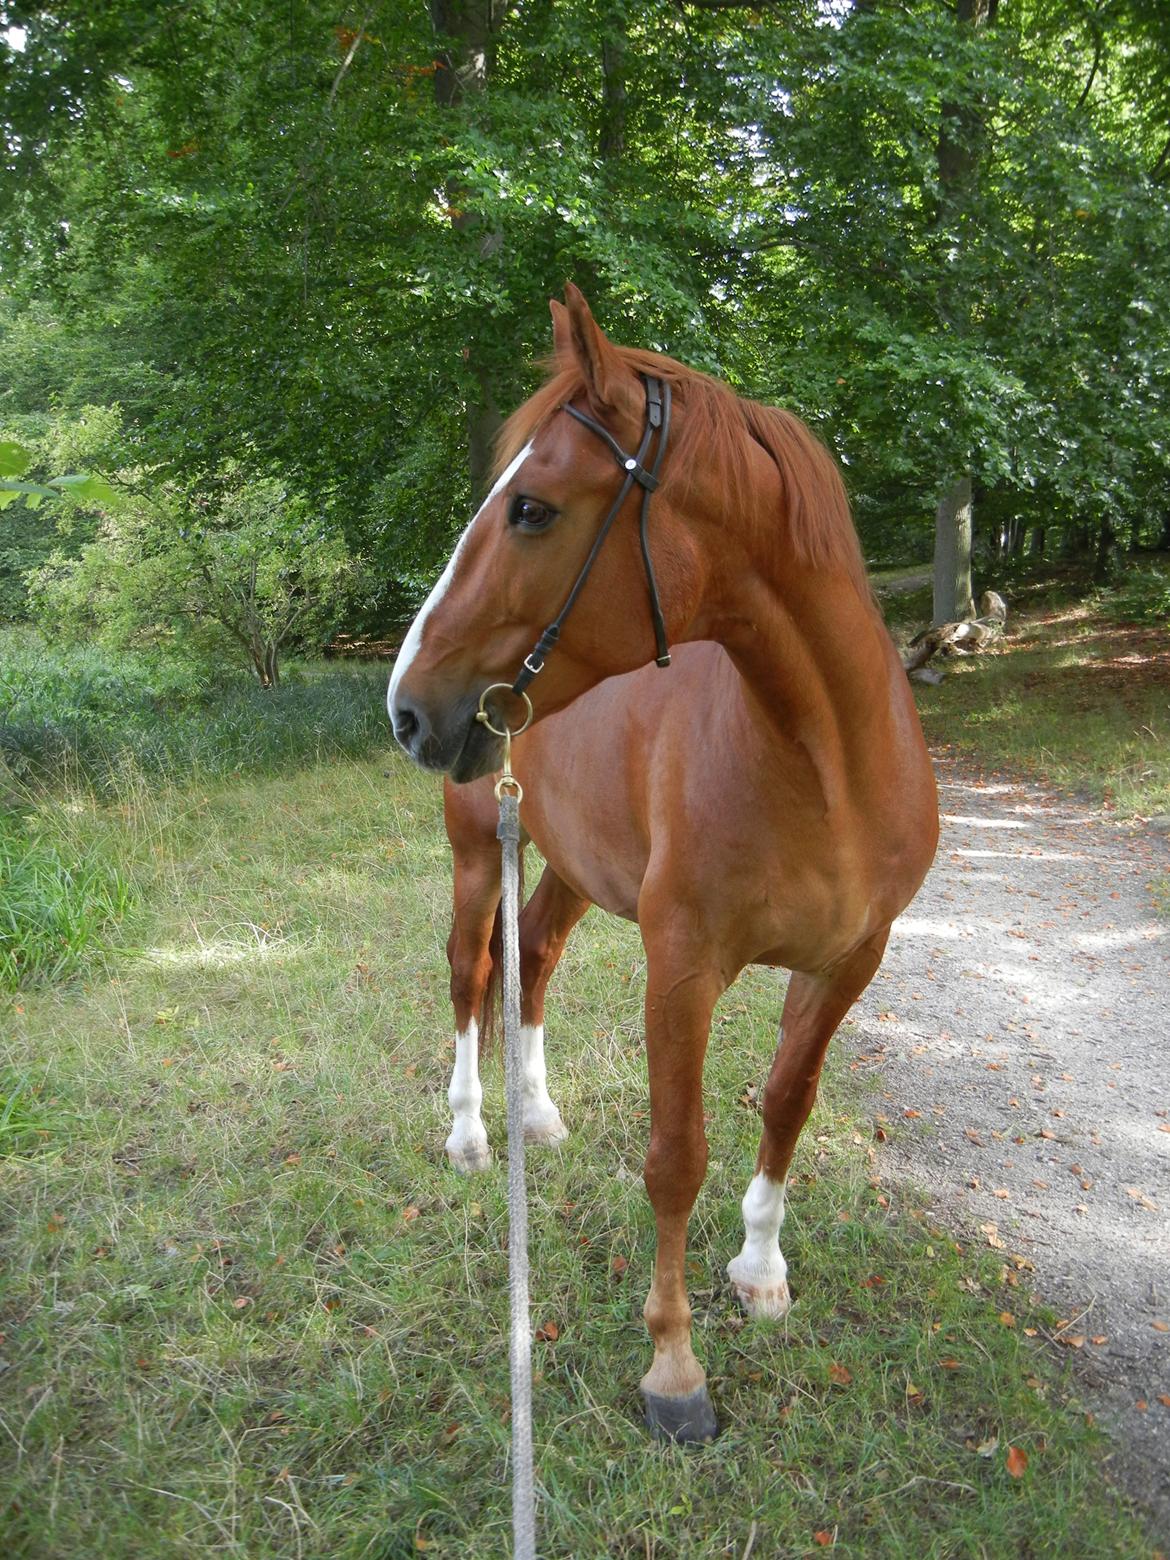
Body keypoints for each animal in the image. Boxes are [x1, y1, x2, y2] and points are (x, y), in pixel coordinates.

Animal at [390, 287, 942, 1441]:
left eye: (532, 509)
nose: (407, 707)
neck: (826, 764)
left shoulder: (848, 963)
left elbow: (786, 1104)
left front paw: (763, 1270)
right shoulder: (682, 967)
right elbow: (676, 1156)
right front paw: (674, 1366)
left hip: (566, 862)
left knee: (536, 959)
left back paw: (537, 1117)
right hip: (476, 852)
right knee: (471, 969)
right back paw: (471, 1135)